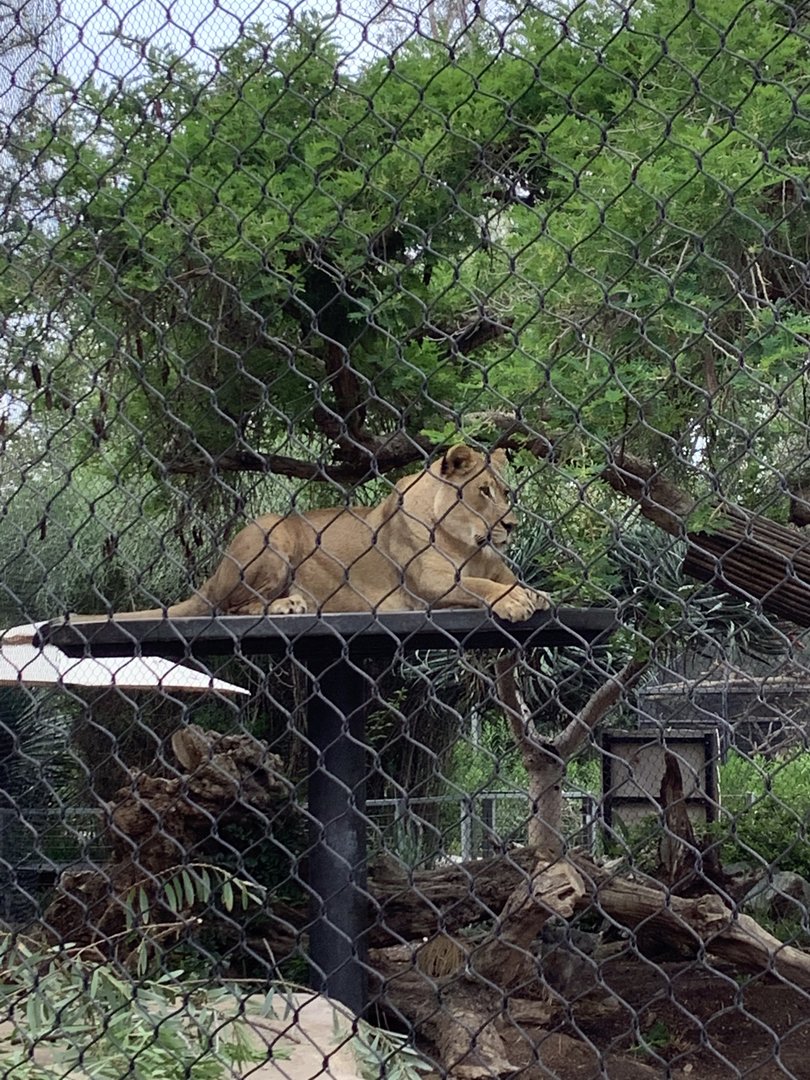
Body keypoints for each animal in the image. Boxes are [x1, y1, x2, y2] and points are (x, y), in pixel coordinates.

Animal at [72, 445, 550, 624]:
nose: (511, 525)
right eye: (483, 491)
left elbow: (509, 579)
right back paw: (289, 604)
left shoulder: (492, 565)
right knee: (231, 607)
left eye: (506, 492)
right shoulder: (428, 585)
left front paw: (534, 593)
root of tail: (215, 572)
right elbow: (479, 586)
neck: (467, 544)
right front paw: (513, 602)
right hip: (272, 533)